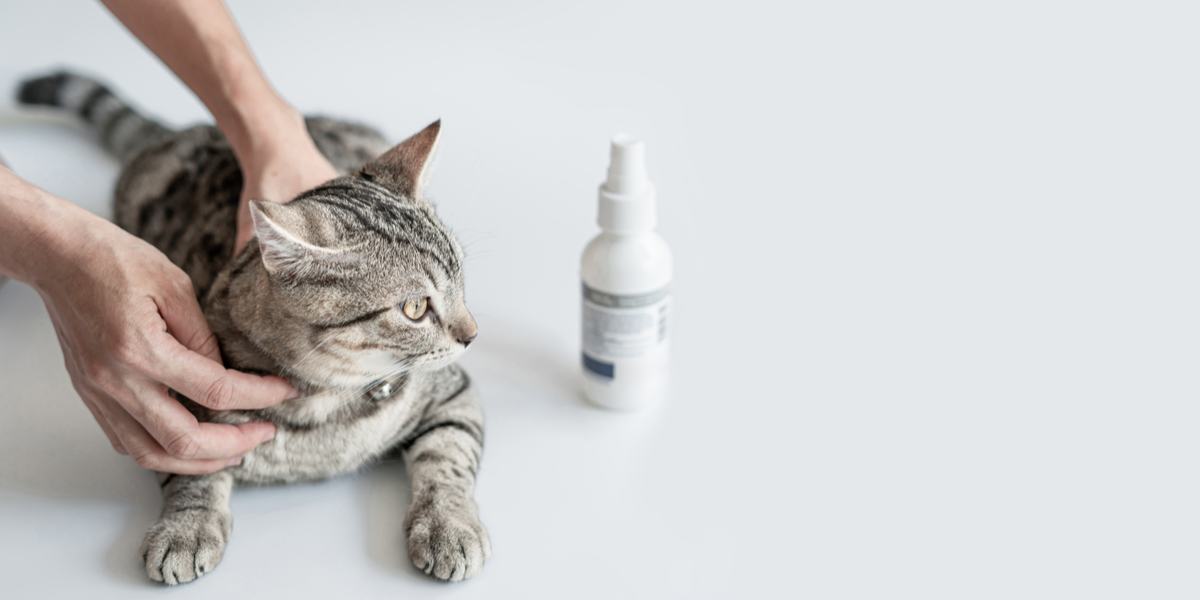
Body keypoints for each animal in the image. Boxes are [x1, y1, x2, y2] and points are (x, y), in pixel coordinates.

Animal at [14, 72, 492, 583]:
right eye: (416, 308)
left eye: (460, 278)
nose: (472, 334)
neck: (324, 403)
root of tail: (192, 131)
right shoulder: (182, 424)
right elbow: (194, 477)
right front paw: (185, 529)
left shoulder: (454, 395)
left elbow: (446, 461)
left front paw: (448, 525)